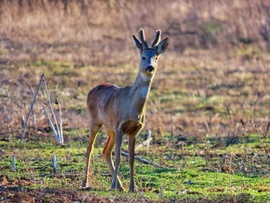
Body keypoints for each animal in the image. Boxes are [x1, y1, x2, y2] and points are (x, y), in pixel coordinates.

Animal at [81, 28, 169, 192]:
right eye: (143, 57)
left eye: (156, 58)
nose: (150, 67)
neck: (133, 108)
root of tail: (92, 89)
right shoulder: (120, 126)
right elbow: (118, 157)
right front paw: (112, 186)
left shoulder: (135, 130)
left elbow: (131, 159)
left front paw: (132, 188)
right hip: (94, 120)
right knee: (90, 148)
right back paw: (85, 183)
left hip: (110, 129)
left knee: (105, 151)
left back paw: (120, 186)